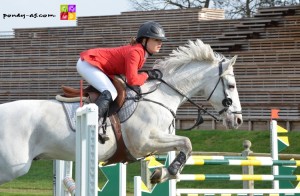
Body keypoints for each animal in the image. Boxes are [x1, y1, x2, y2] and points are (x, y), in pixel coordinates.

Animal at [0, 39, 241, 185]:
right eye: (231, 86)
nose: (238, 120)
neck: (162, 94)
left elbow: (184, 145)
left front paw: (162, 173)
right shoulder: (143, 143)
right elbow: (187, 143)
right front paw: (167, 172)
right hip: (13, 166)